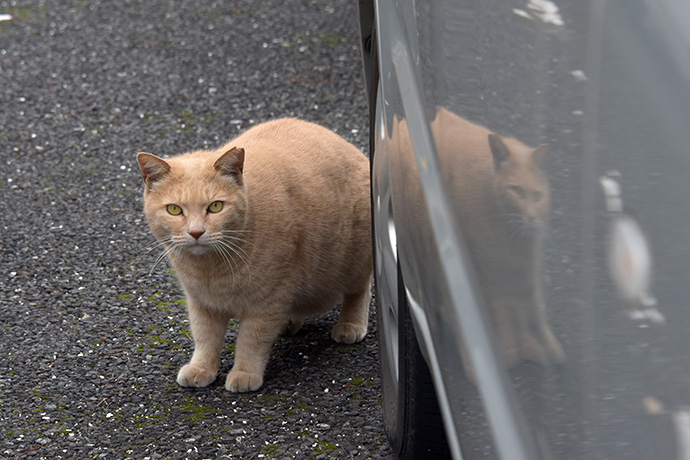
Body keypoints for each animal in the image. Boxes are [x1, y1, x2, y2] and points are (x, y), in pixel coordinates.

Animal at [135, 117, 370, 392]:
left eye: (215, 206)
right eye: (174, 209)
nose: (196, 232)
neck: (211, 270)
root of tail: (349, 145)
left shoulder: (268, 301)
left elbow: (251, 341)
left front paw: (244, 373)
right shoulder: (201, 302)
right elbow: (205, 338)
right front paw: (202, 368)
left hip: (355, 259)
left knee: (358, 291)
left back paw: (350, 324)